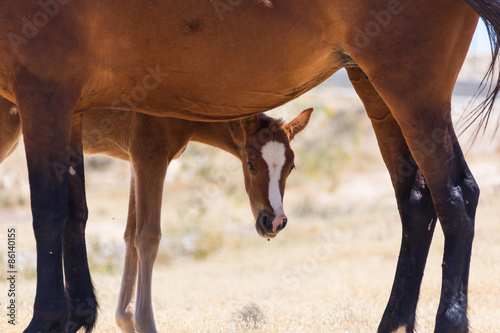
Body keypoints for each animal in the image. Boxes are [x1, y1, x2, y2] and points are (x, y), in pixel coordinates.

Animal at [0, 102, 312, 330]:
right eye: (251, 164)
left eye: (292, 167)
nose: (274, 222)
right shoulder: (150, 157)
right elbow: (148, 237)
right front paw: (144, 322)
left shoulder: (134, 163)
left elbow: (130, 235)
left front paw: (125, 318)